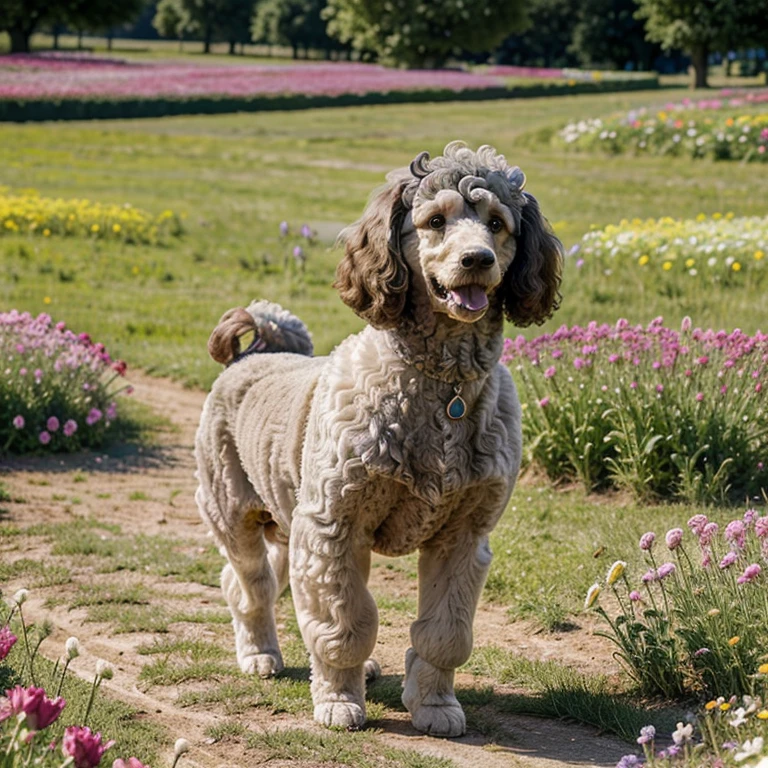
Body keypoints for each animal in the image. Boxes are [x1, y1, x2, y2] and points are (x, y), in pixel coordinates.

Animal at [195, 141, 560, 736]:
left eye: (496, 224)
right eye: (434, 221)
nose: (477, 259)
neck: (442, 385)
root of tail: (256, 351)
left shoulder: (462, 536)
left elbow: (445, 633)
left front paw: (434, 705)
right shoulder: (334, 524)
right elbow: (345, 623)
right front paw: (338, 701)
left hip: (291, 521)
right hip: (235, 512)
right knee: (249, 585)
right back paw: (260, 654)